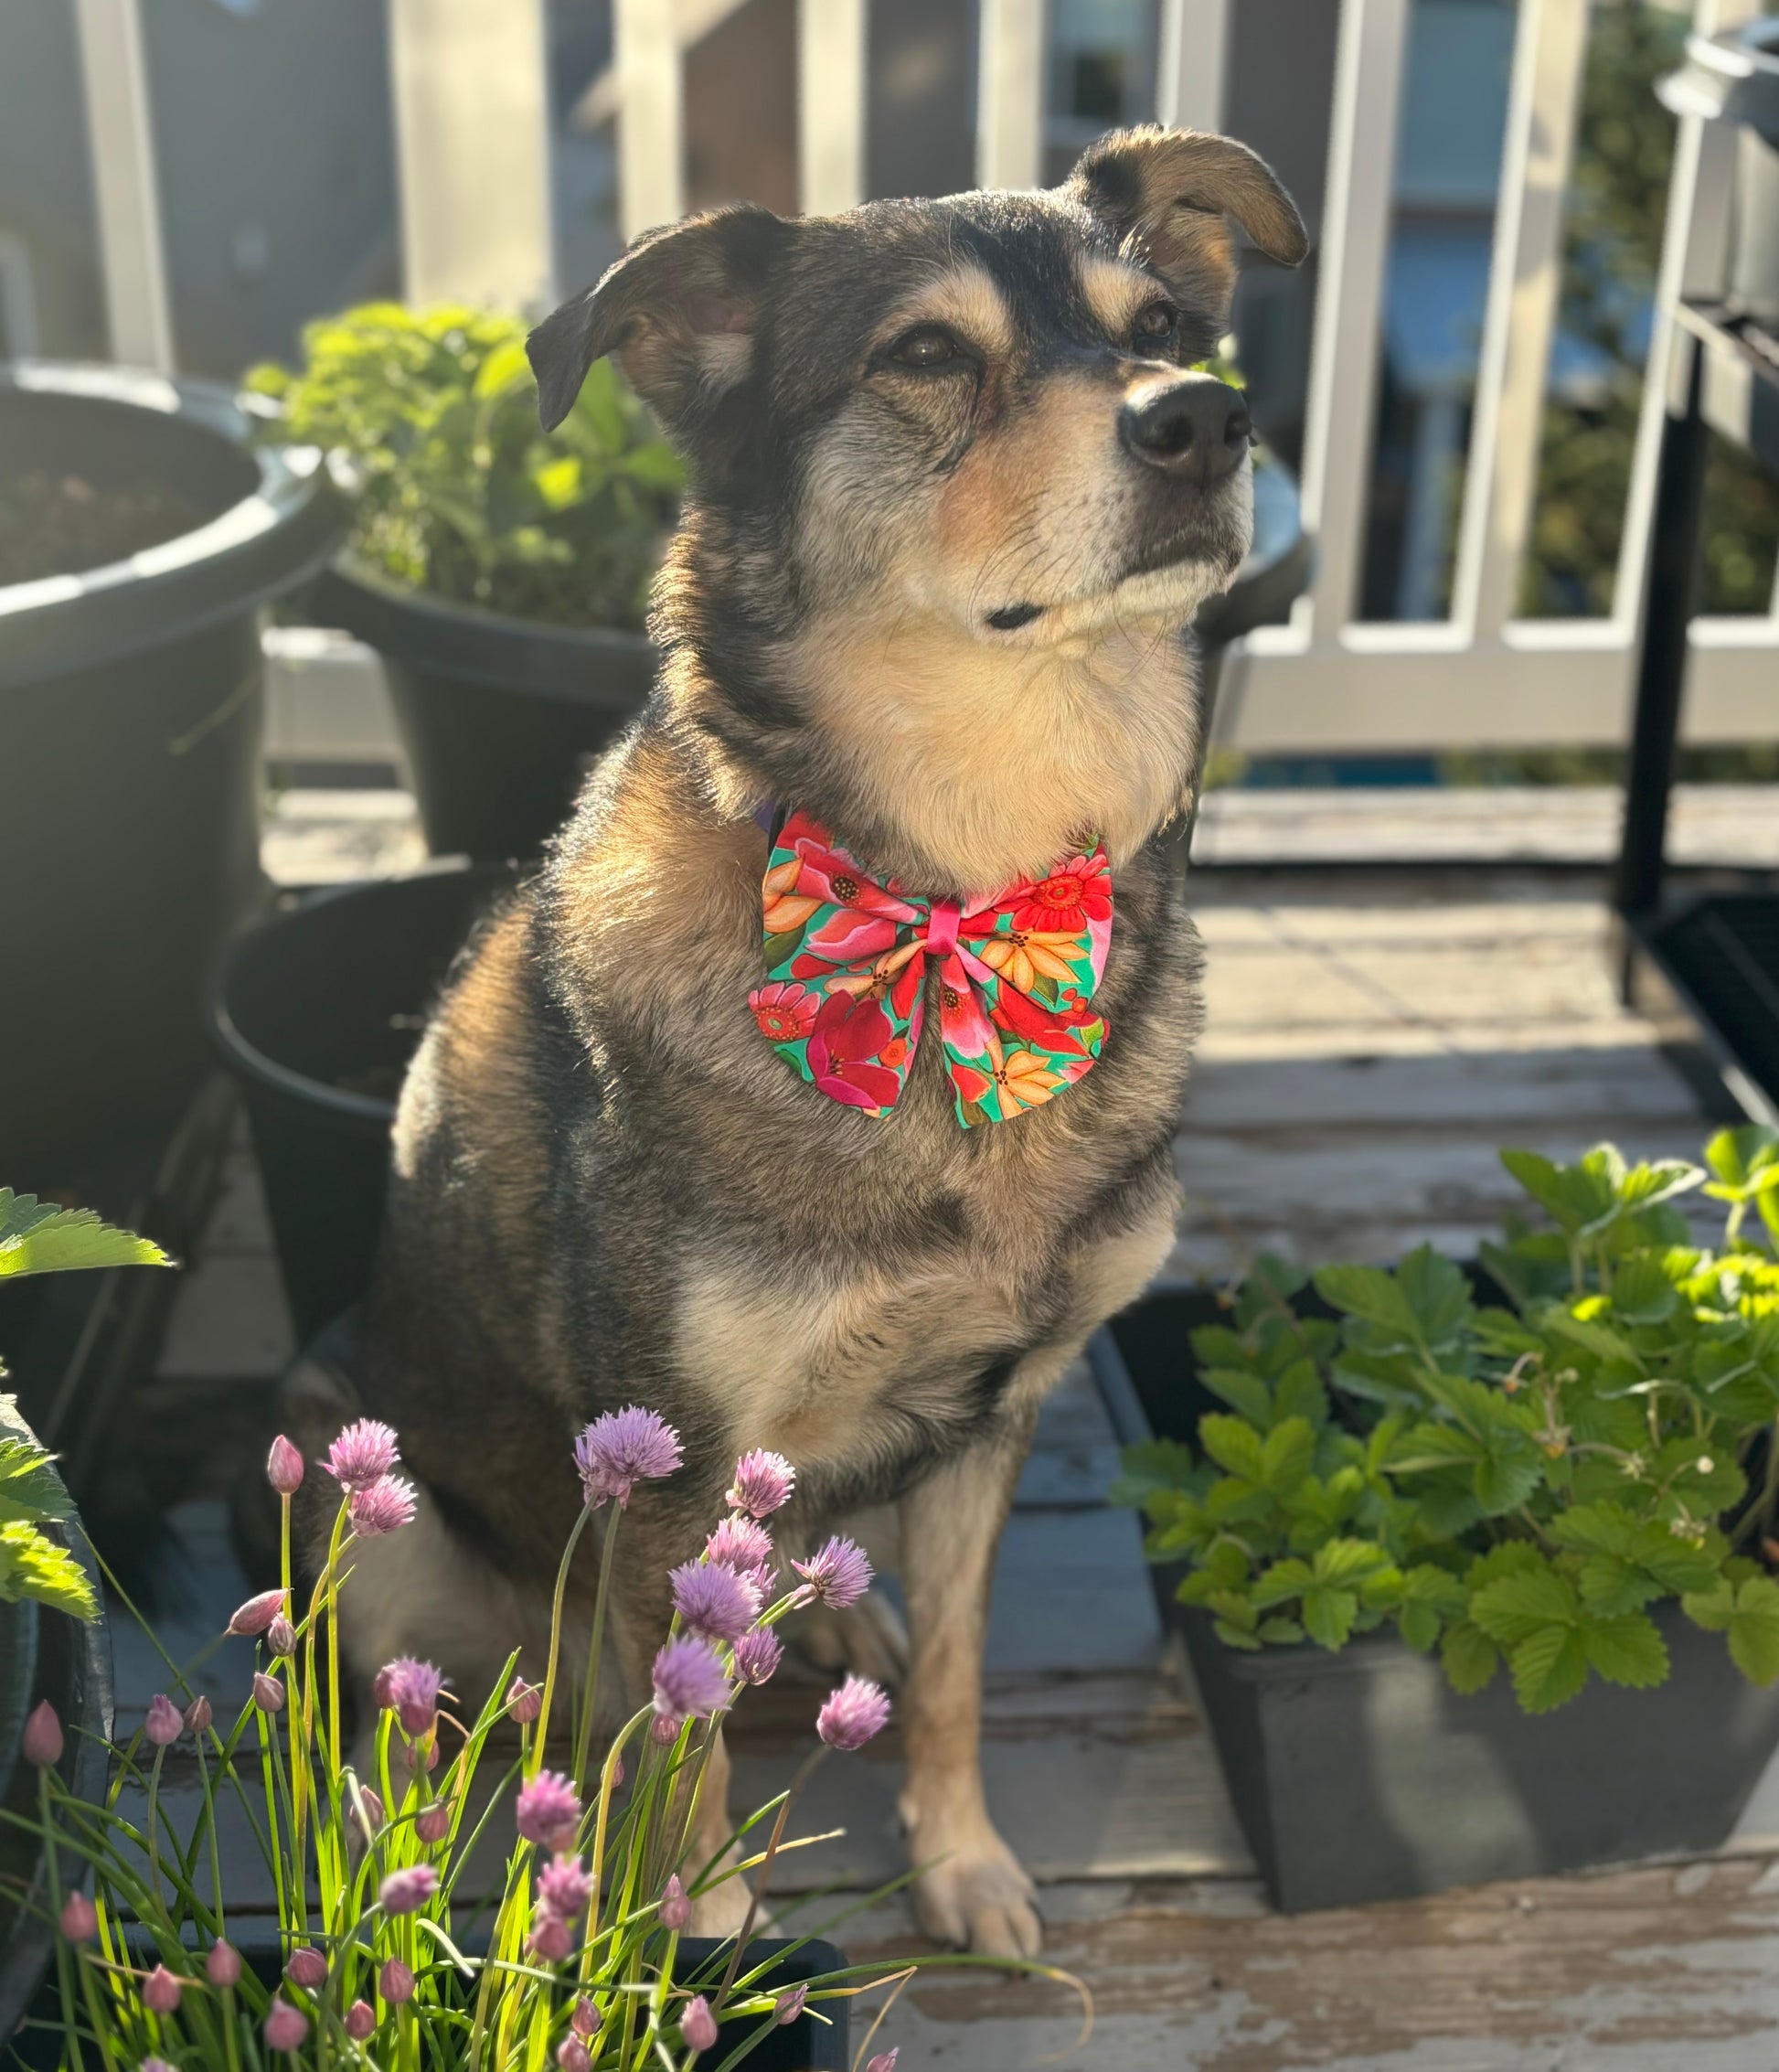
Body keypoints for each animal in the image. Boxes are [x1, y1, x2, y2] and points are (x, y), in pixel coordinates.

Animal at [313, 129, 1300, 1956]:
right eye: (924, 354)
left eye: (1162, 325)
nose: (1201, 419)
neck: (958, 893)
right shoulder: (666, 1459)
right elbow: (686, 1746)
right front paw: (696, 1938)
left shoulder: (991, 1416)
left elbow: (965, 1673)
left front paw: (962, 1860)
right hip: (378, 1502)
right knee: (436, 1698)